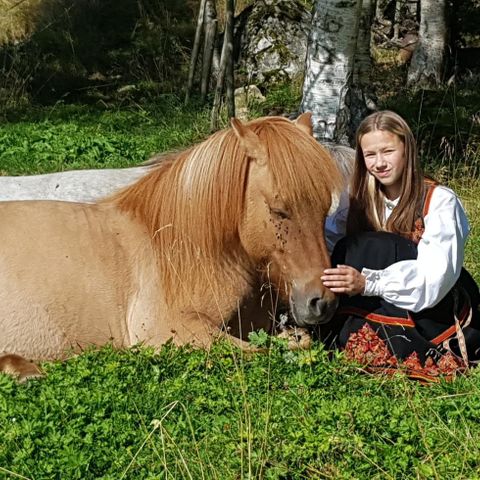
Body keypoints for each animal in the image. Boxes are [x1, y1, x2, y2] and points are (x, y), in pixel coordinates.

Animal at [0, 113, 344, 378]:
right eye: (279, 210)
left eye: (325, 209)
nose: (322, 302)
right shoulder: (175, 331)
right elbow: (261, 351)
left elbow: (296, 341)